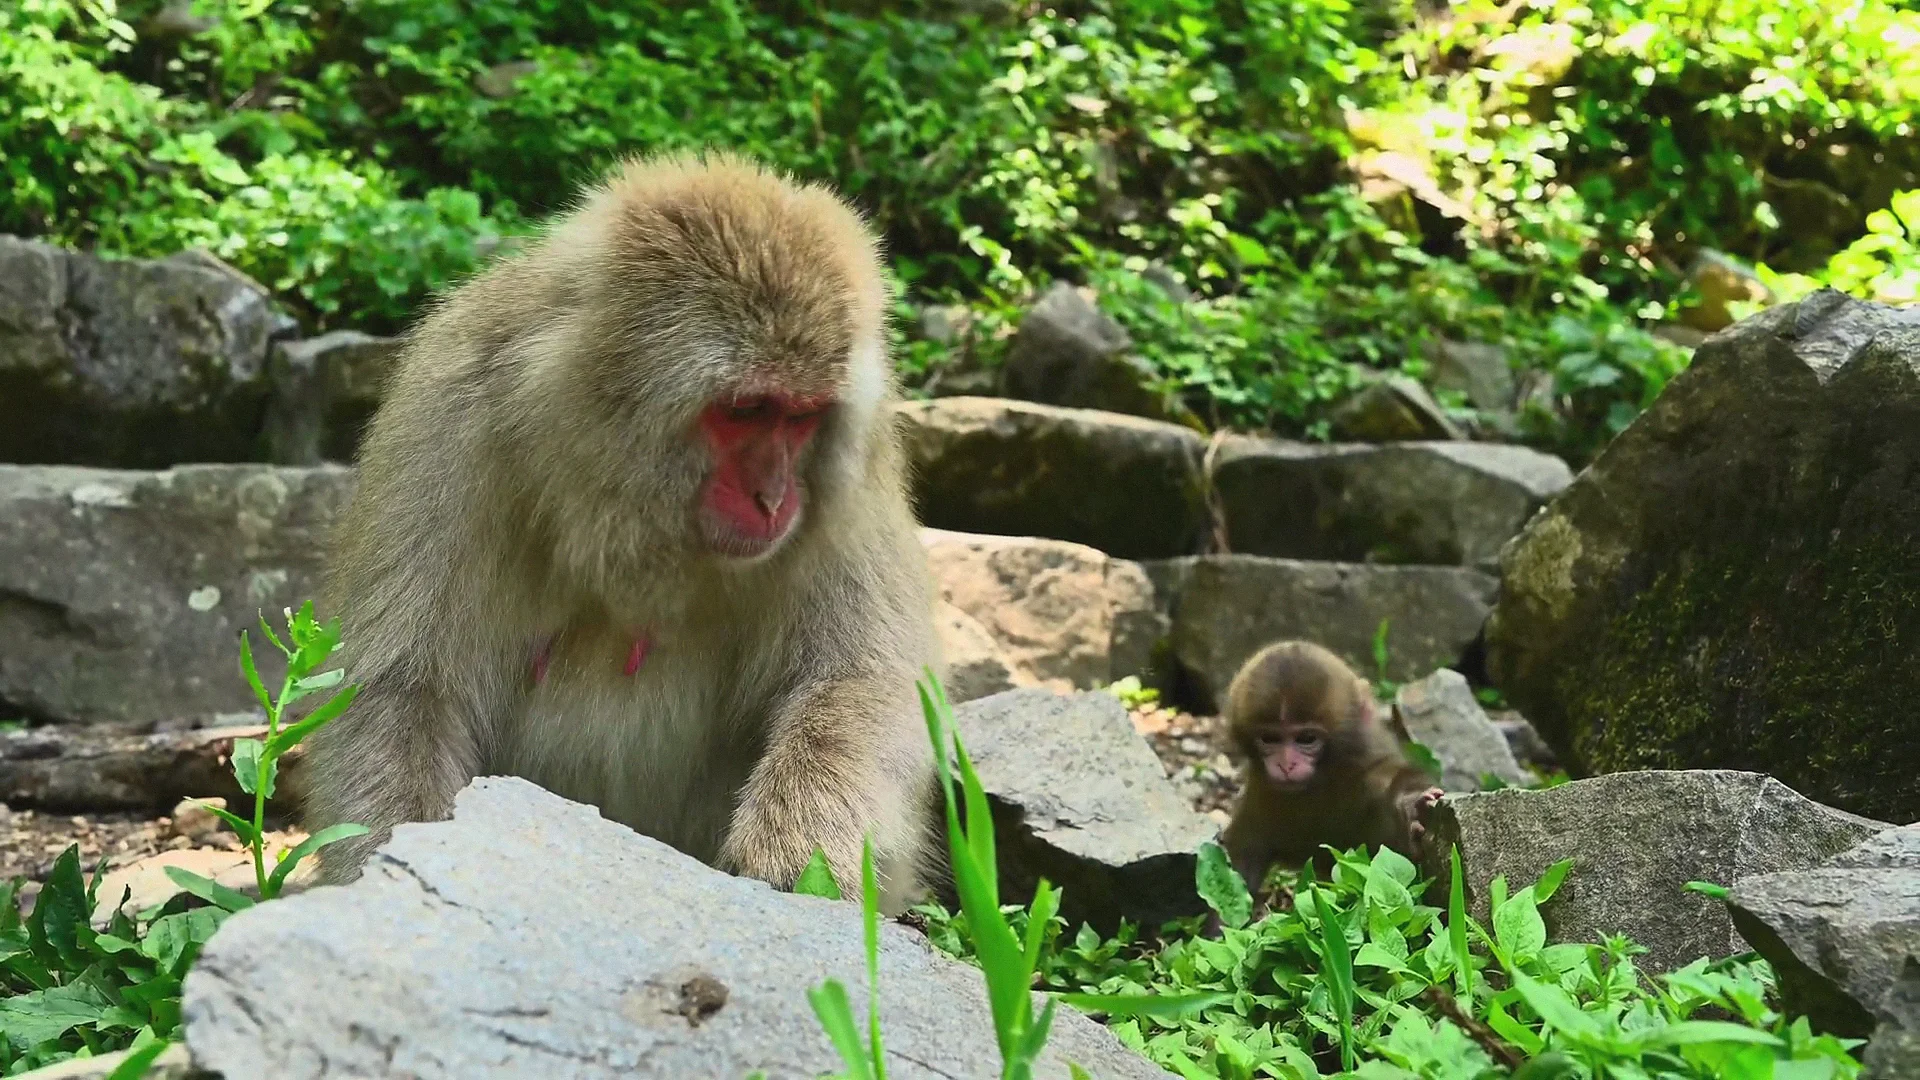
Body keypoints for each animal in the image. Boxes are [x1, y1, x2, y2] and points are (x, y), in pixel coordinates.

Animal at [300, 151, 941, 913]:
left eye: (802, 416)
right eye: (745, 410)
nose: (774, 498)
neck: (622, 510)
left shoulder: (855, 481)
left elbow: (861, 680)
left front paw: (800, 855)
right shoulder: (448, 418)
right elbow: (400, 689)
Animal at [1218, 641, 1444, 897]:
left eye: (1307, 739)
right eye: (1270, 738)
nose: (1286, 764)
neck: (1321, 779)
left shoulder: (1365, 774)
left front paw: (1411, 806)